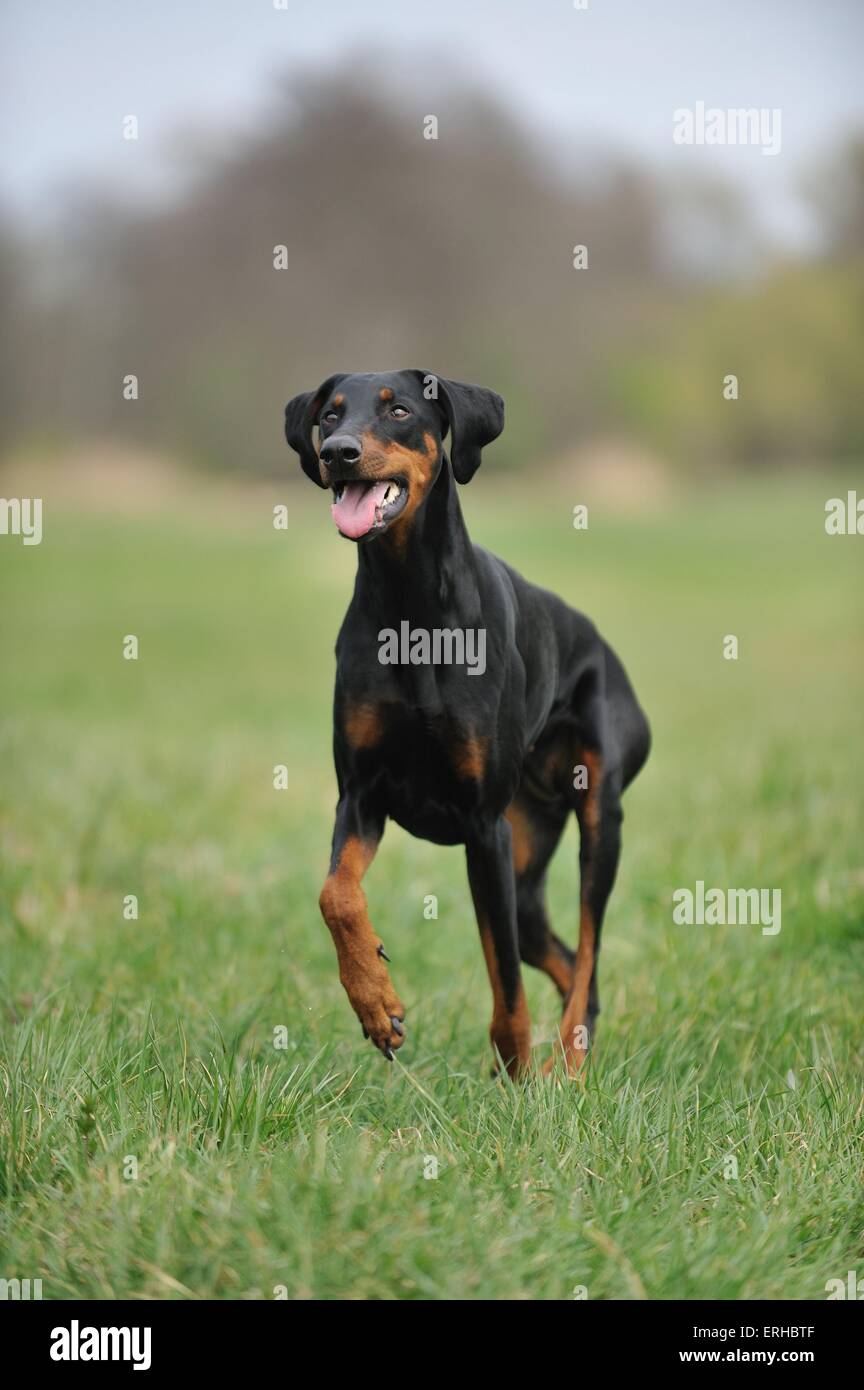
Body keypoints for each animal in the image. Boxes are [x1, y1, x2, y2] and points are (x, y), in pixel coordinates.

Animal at [286, 369, 650, 1073]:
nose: (338, 453)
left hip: (596, 814)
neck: (411, 610)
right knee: (568, 960)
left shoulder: (484, 828)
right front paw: (376, 1004)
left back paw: (564, 1064)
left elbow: (503, 976)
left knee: (587, 941)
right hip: (527, 865)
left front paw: (514, 1075)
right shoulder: (361, 795)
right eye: (330, 415)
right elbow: (335, 894)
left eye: (400, 410)